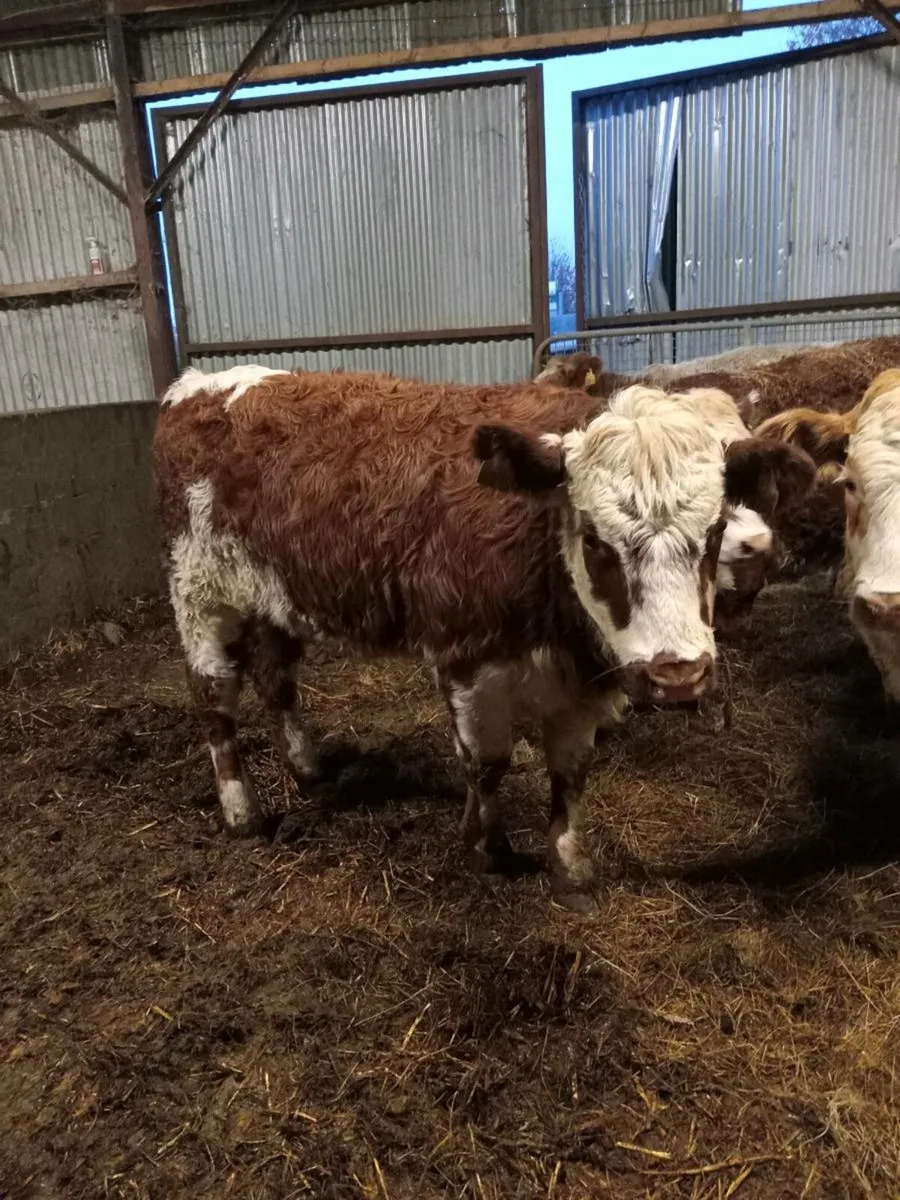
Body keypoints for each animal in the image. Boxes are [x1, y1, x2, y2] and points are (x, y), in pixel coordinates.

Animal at [153, 366, 814, 911]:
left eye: (716, 529)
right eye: (595, 540)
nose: (678, 674)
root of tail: (200, 385)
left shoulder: (584, 683)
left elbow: (570, 772)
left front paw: (570, 866)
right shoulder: (469, 663)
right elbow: (488, 764)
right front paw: (487, 851)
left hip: (274, 598)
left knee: (279, 681)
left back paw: (308, 767)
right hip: (200, 593)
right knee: (215, 701)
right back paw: (241, 811)